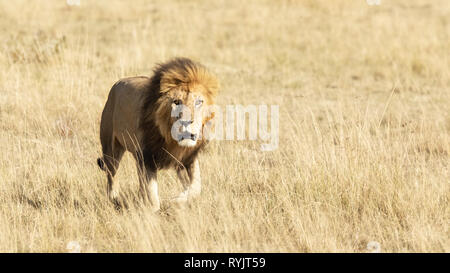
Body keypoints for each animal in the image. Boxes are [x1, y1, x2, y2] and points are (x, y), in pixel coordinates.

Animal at [97, 58, 220, 210]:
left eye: (199, 102)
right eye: (176, 102)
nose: (186, 122)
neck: (172, 140)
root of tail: (118, 83)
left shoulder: (188, 158)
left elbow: (196, 188)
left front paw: (178, 201)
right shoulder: (147, 156)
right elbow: (152, 195)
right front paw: (153, 208)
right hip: (111, 148)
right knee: (111, 174)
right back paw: (114, 198)